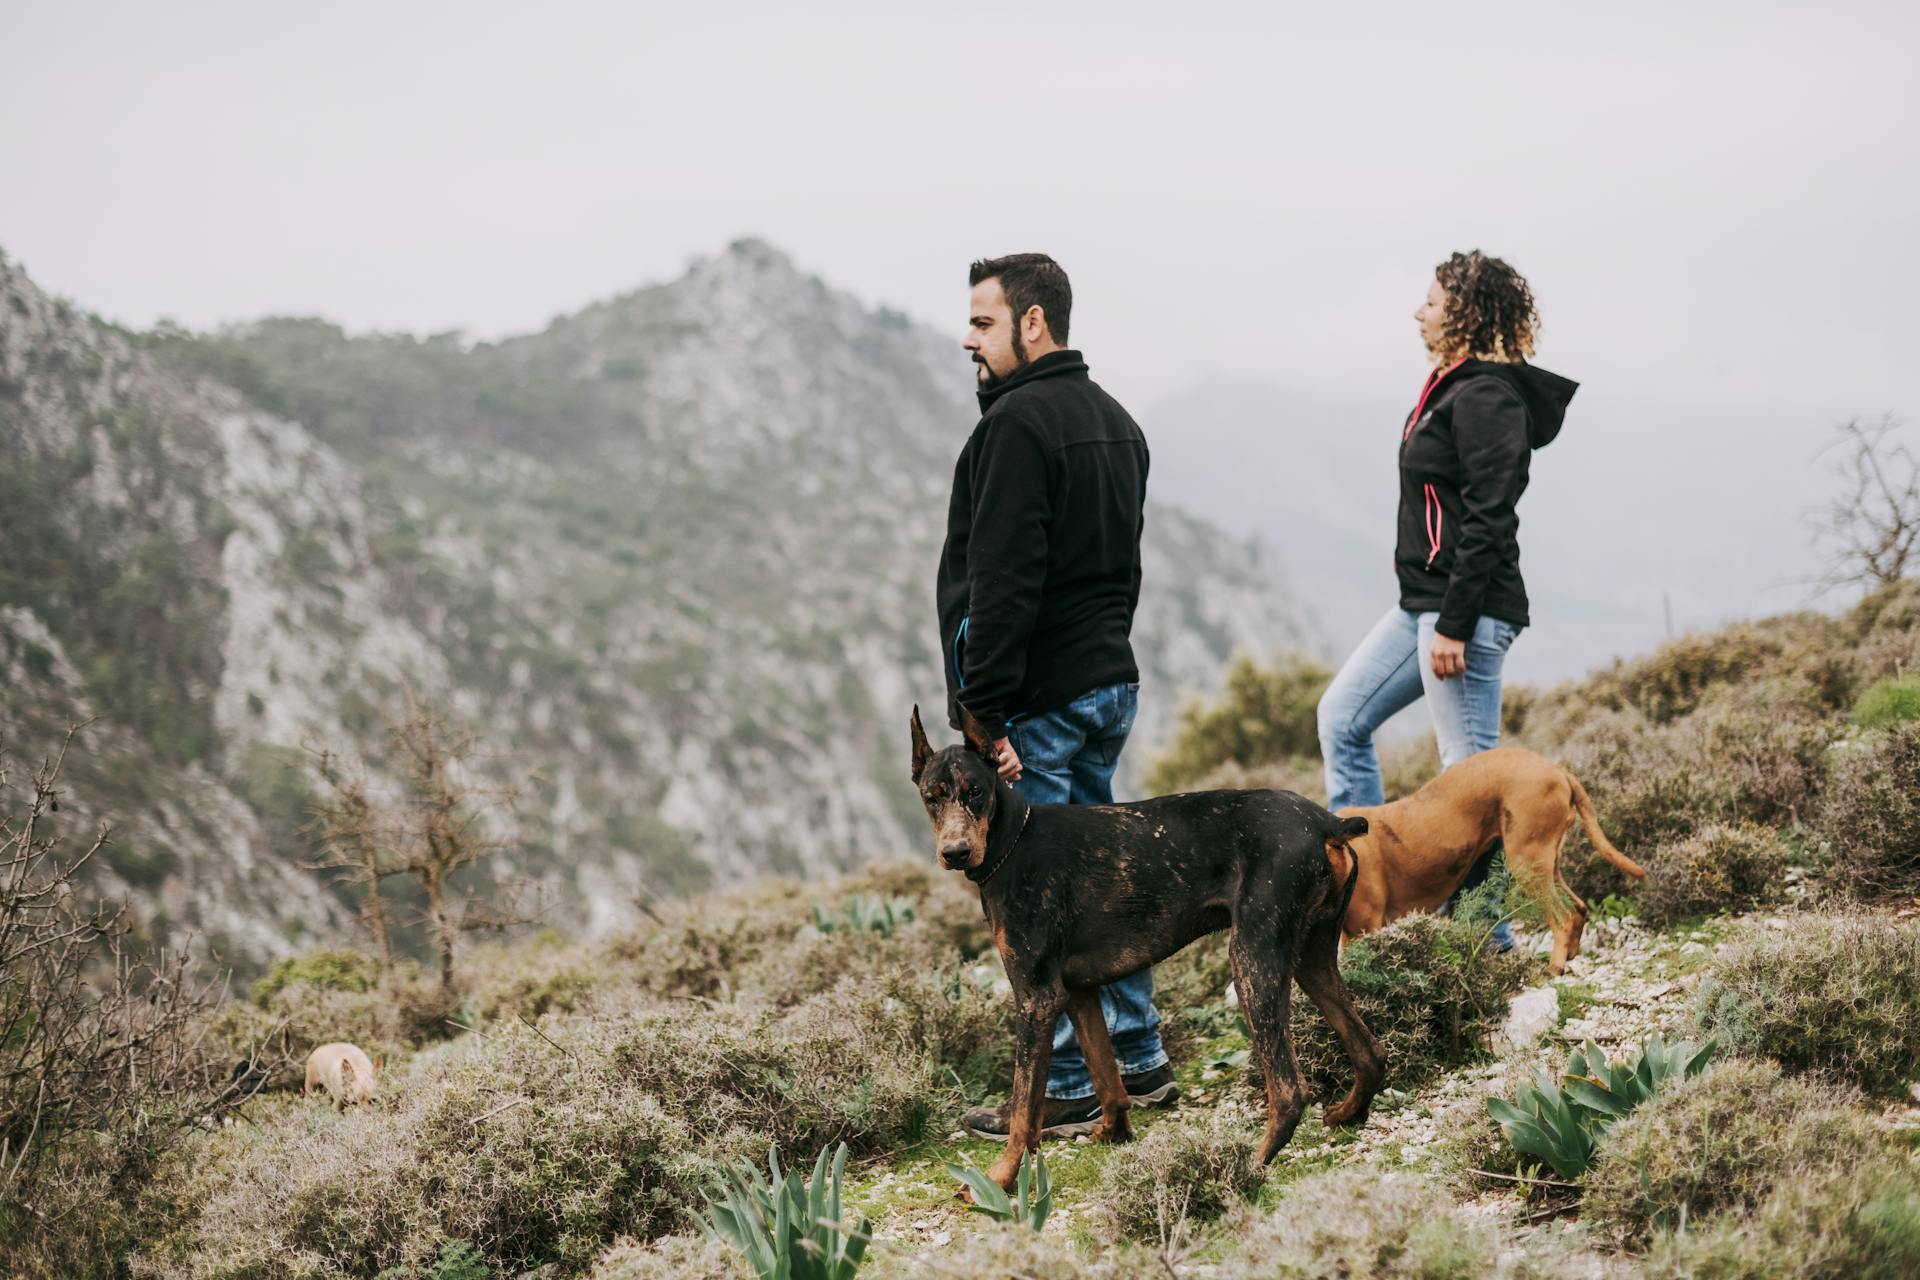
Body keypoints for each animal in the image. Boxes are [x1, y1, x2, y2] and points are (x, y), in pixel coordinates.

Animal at [910, 706, 1382, 1197]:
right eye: (931, 797)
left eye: (976, 791)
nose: (955, 852)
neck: (1011, 841)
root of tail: (1327, 823)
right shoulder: (1078, 992)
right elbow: (1106, 1075)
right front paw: (1111, 1132)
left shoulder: (1037, 997)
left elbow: (1025, 1109)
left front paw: (999, 1179)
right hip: (1311, 956)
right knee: (1371, 1052)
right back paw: (1346, 1113)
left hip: (1252, 961)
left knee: (1289, 1090)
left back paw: (1247, 1166)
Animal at [1328, 744, 1643, 974]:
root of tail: (1555, 769)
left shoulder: (1365, 928)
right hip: (1545, 865)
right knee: (1578, 908)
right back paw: (1570, 955)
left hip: (1527, 865)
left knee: (1562, 918)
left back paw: (1554, 967)